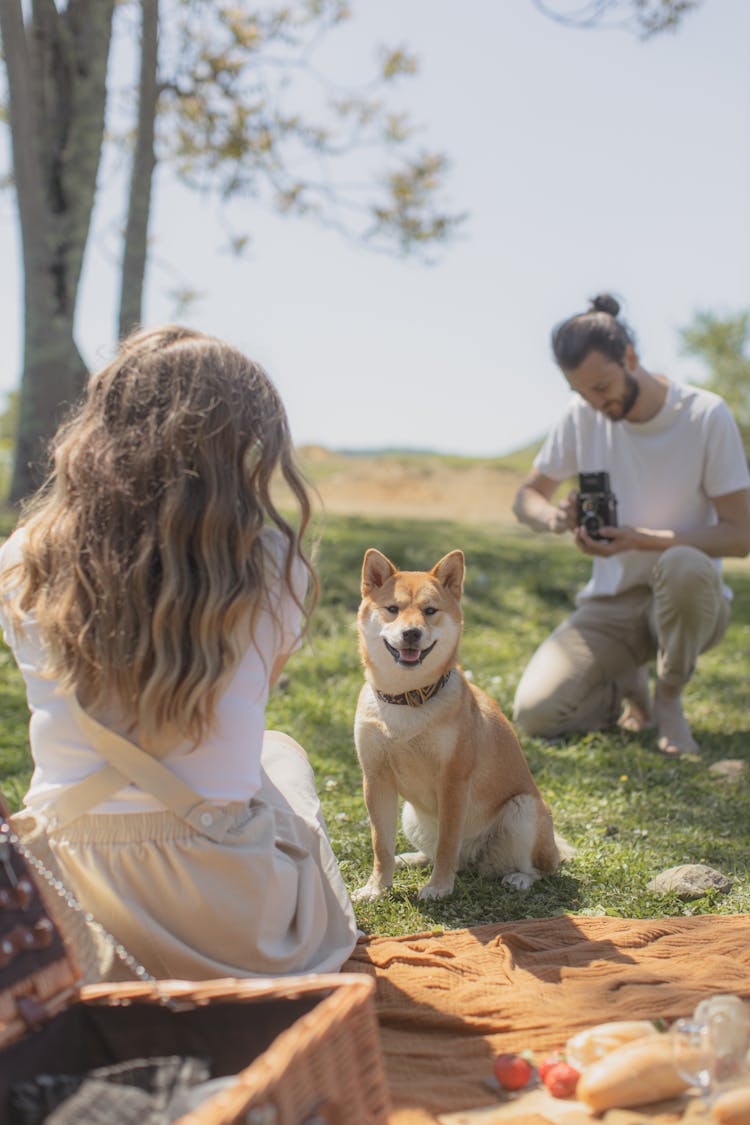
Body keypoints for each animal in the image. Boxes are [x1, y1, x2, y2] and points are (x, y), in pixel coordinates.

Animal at [355, 549, 566, 900]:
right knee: (434, 851)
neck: (408, 699)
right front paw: (377, 888)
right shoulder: (376, 778)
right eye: (393, 609)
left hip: (523, 810)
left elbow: (447, 844)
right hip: (410, 815)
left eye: (430, 611)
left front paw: (439, 888)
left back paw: (519, 878)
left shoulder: (453, 781)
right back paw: (412, 858)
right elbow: (380, 846)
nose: (411, 633)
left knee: (538, 868)